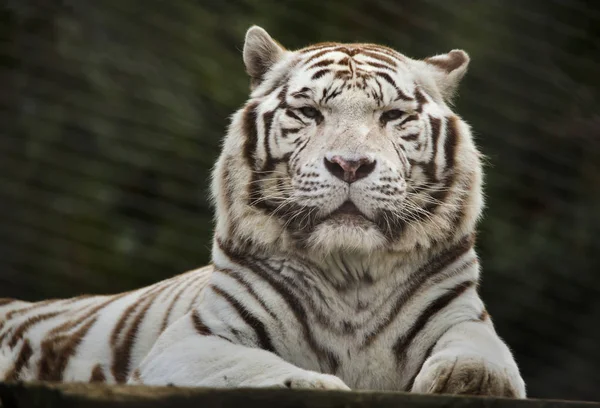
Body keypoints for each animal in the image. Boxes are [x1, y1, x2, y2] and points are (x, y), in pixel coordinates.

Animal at [0, 24, 524, 396]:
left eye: (392, 116)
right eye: (309, 112)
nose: (350, 165)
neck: (352, 272)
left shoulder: (465, 318)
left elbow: (480, 355)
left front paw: (467, 379)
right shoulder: (194, 340)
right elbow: (253, 367)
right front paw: (317, 383)